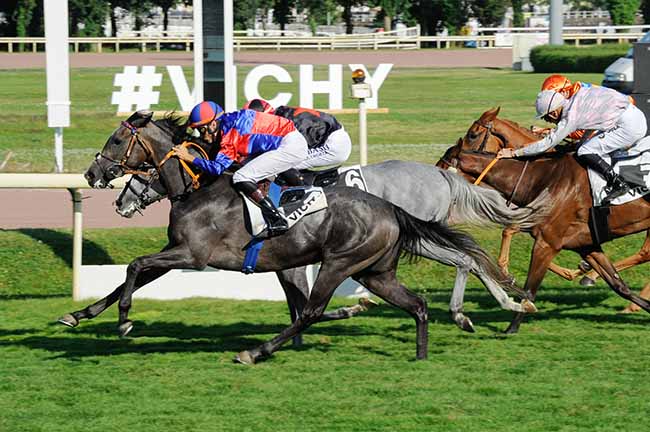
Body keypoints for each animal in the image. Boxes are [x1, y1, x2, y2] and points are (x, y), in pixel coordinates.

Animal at [62, 109, 516, 362]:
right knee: (418, 299)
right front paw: (79, 314)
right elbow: (131, 276)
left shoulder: (193, 255)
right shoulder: (182, 251)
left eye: (117, 140)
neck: (199, 188)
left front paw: (124, 321)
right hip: (375, 270)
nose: (93, 175)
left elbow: (134, 266)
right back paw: (427, 348)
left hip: (343, 262)